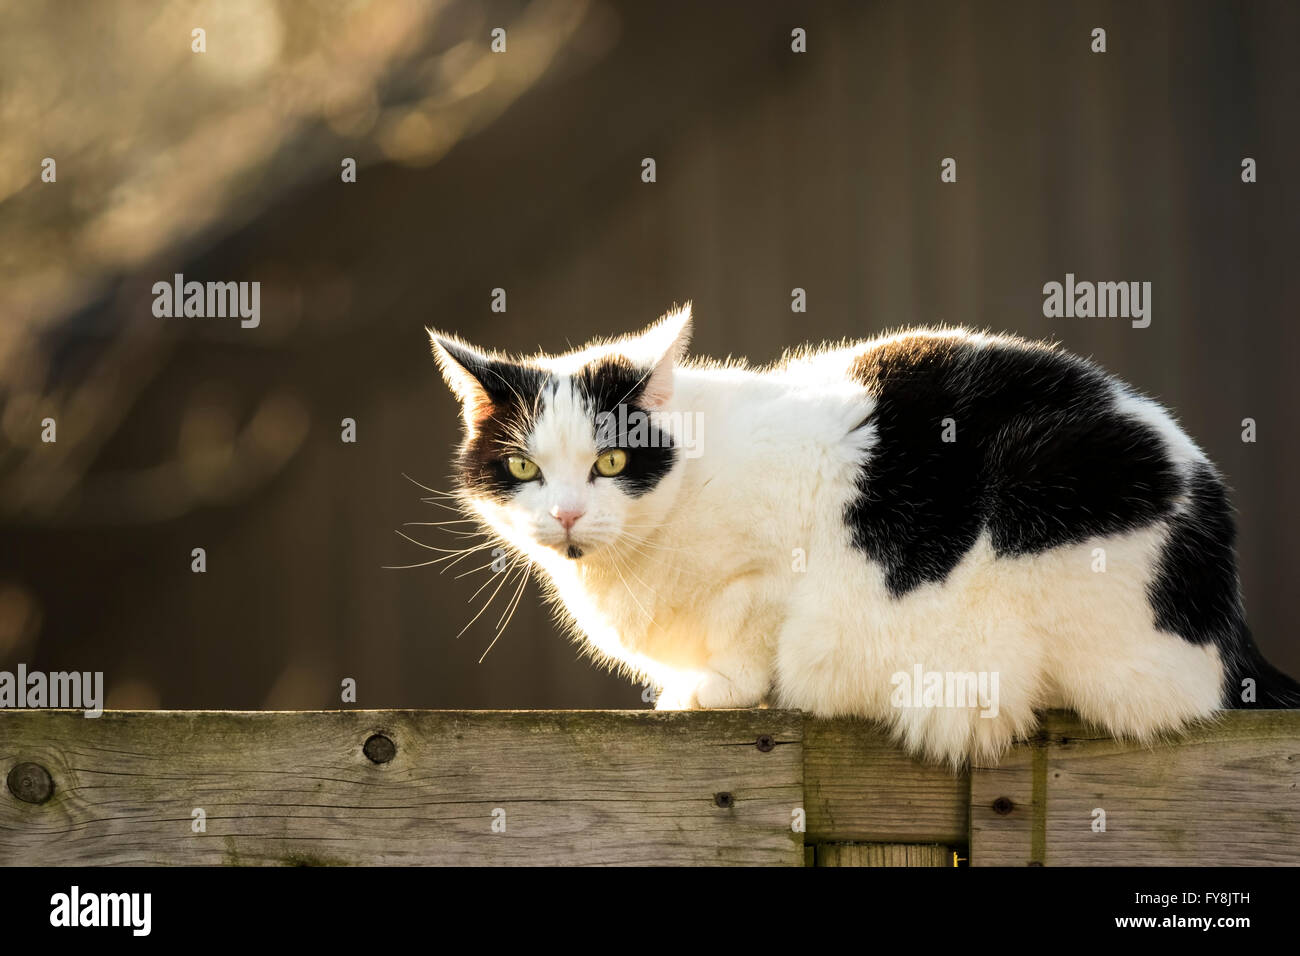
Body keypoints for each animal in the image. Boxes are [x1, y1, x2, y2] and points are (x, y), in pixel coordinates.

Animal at [428, 306, 1300, 770]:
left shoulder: (773, 573)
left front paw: (717, 689)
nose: (568, 515)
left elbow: (751, 632)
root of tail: (1230, 635)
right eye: (523, 467)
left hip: (1048, 494)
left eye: (610, 461)